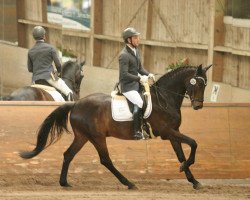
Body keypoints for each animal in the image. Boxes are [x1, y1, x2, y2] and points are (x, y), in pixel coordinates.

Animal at [19, 63, 212, 189]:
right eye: (197, 83)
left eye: (205, 84)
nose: (198, 106)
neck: (165, 99)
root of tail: (76, 103)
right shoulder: (167, 132)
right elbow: (194, 143)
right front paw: (185, 169)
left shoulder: (173, 132)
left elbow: (181, 154)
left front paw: (193, 180)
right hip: (97, 137)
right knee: (105, 160)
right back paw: (129, 183)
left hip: (83, 136)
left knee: (68, 155)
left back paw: (64, 183)